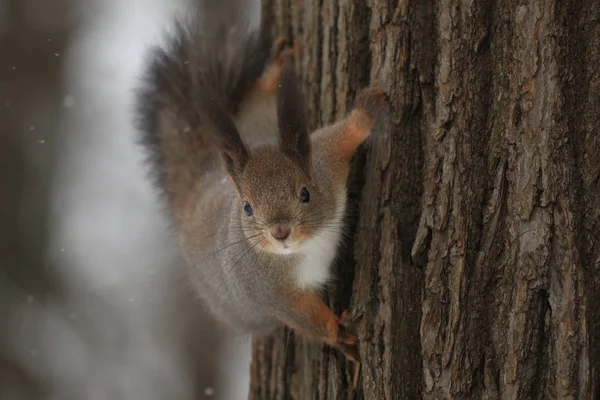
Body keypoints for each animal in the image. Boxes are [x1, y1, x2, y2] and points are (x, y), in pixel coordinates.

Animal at [135, 17, 386, 368]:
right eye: (247, 208)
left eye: (305, 193)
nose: (280, 232)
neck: (303, 249)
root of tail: (202, 182)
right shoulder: (270, 294)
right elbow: (307, 317)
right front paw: (340, 334)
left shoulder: (324, 163)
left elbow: (340, 137)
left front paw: (367, 110)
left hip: (257, 120)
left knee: (255, 99)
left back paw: (277, 66)